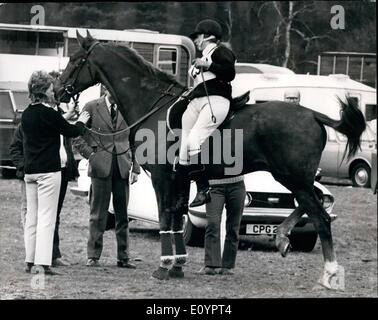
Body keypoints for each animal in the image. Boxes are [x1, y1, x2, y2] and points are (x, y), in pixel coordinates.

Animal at [54, 32, 364, 290]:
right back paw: (283, 237)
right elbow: (177, 219)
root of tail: (313, 114)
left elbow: (166, 217)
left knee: (321, 217)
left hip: (293, 177)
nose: (58, 92)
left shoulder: (162, 178)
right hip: (296, 178)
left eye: (75, 60)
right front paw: (177, 265)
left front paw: (164, 267)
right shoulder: (179, 180)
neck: (152, 105)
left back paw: (329, 274)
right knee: (312, 204)